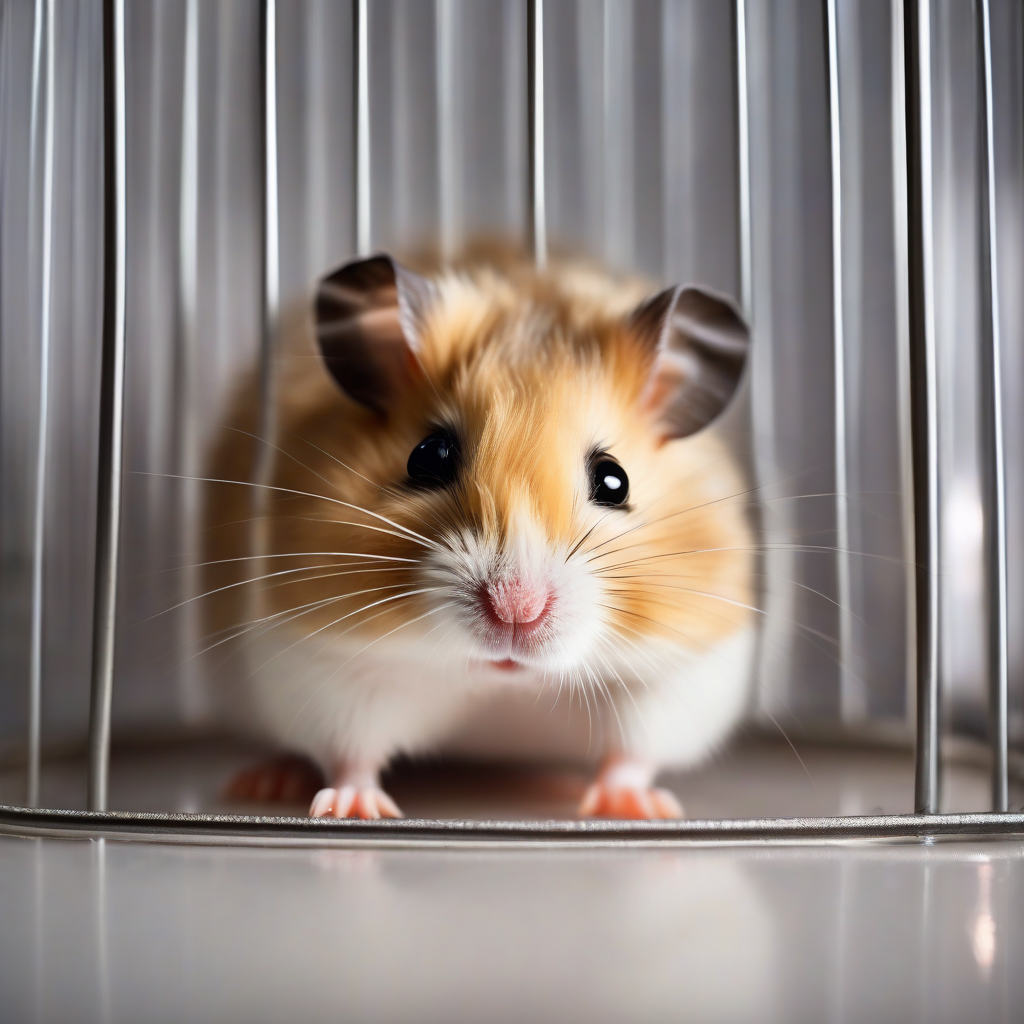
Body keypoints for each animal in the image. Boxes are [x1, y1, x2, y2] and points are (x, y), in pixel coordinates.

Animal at [203, 248, 754, 819]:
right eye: (428, 457)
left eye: (614, 480)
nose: (517, 608)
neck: (498, 679)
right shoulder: (324, 665)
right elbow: (350, 753)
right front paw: (353, 809)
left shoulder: (675, 678)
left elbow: (632, 752)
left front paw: (636, 807)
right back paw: (265, 782)